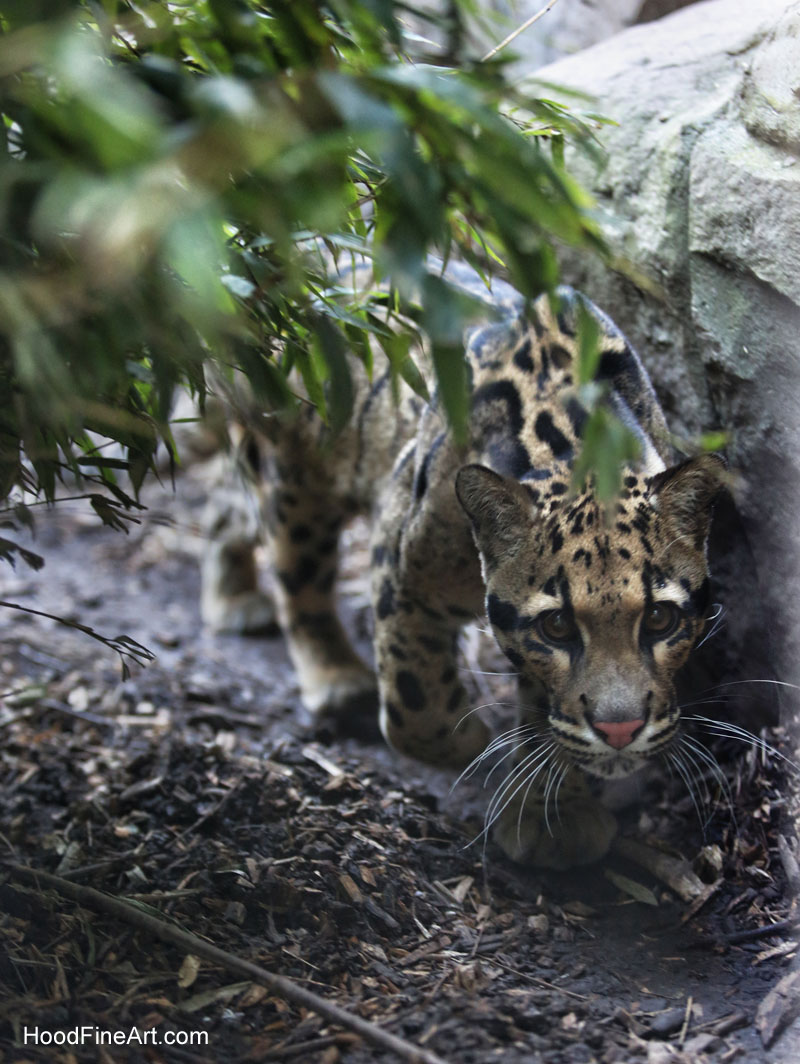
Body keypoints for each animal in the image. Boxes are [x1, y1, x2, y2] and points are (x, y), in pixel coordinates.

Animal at [200, 263, 724, 870]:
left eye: (661, 619)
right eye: (557, 626)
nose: (620, 730)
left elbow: (540, 709)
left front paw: (554, 809)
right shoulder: (399, 567)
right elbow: (416, 703)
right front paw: (472, 743)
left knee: (230, 504)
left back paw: (232, 595)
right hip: (299, 470)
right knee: (294, 567)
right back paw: (334, 677)